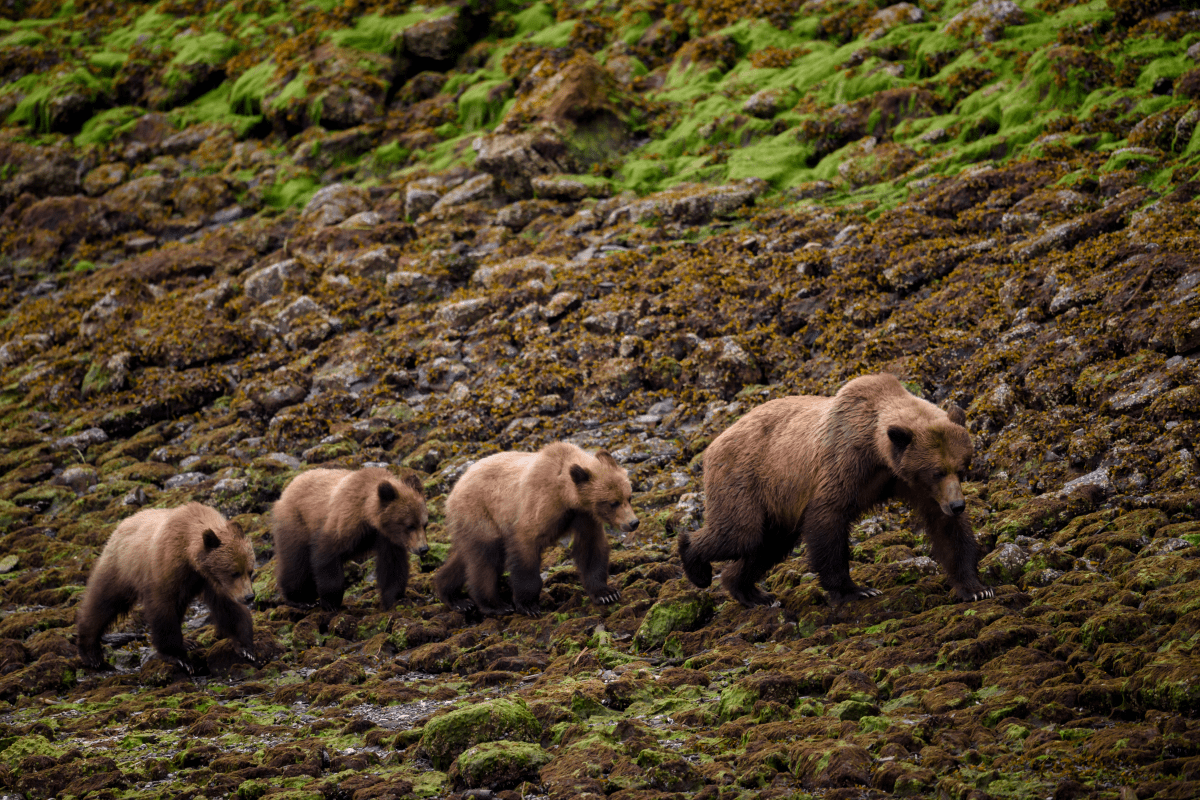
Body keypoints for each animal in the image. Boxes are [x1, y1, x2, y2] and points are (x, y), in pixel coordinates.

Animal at [76, 502, 256, 671]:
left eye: (250, 571)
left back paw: (187, 642)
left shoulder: (208, 580)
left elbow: (228, 607)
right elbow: (163, 611)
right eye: (234, 572)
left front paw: (246, 648)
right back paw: (91, 653)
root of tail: (122, 524)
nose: (249, 597)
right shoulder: (165, 568)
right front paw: (178, 657)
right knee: (102, 602)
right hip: (120, 568)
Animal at [271, 467, 428, 610]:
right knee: (296, 562)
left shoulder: (387, 538)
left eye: (424, 524)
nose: (423, 548)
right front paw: (331, 602)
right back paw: (301, 599)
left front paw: (396, 599)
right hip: (296, 522)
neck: (367, 515)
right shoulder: (342, 523)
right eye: (409, 525)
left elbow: (392, 566)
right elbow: (326, 557)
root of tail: (289, 486)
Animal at [434, 442, 639, 616]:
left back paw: (455, 598)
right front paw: (528, 604)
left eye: (629, 497)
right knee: (486, 558)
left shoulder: (584, 516)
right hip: (480, 513)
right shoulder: (539, 506)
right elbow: (526, 548)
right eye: (613, 503)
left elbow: (590, 548)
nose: (633, 522)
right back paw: (495, 605)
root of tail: (454, 488)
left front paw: (606, 593)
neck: (566, 496)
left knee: (464, 558)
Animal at [678, 373, 994, 606]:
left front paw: (976, 587)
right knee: (740, 534)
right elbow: (828, 517)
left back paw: (751, 592)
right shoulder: (846, 462)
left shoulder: (910, 482)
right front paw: (855, 589)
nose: (957, 505)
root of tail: (715, 441)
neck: (879, 454)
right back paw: (696, 565)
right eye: (936, 471)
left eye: (961, 468)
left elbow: (946, 529)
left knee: (768, 544)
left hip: (776, 502)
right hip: (746, 479)